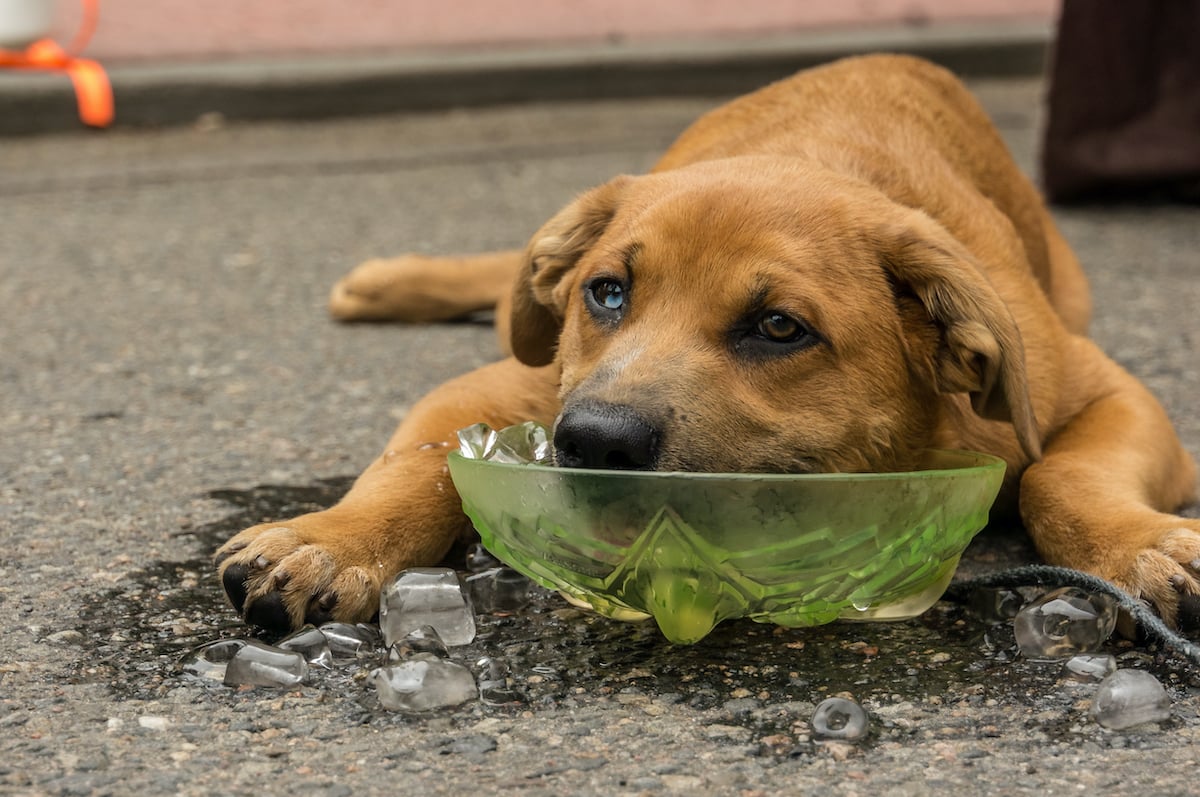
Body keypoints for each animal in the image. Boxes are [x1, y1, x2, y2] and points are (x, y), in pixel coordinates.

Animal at [216, 52, 1200, 633]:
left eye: (778, 327)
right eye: (607, 293)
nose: (592, 442)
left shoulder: (1106, 391)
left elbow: (1061, 476)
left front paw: (1142, 547)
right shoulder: (511, 383)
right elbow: (413, 464)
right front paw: (329, 539)